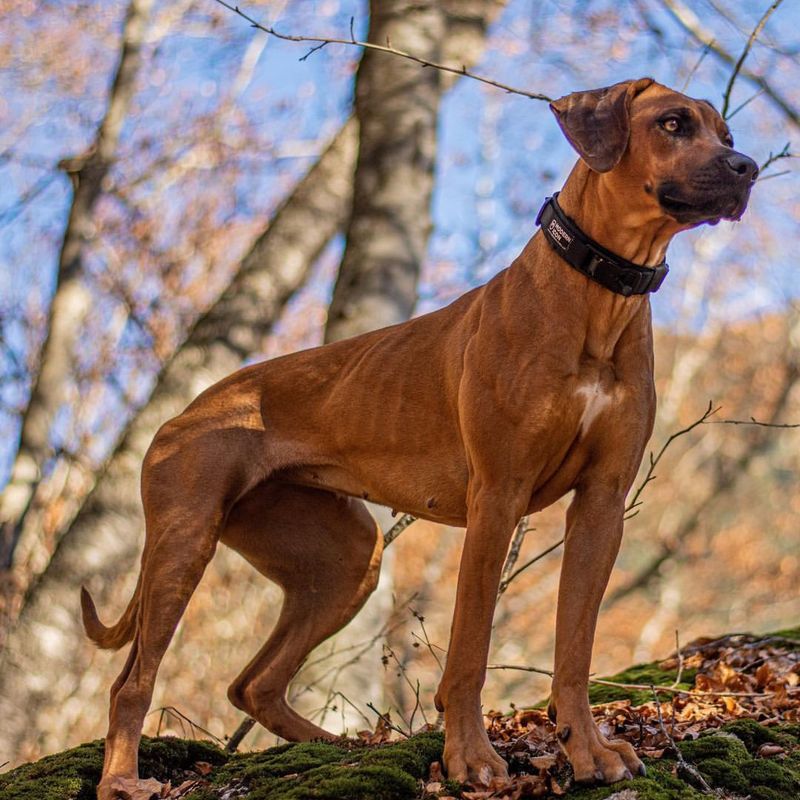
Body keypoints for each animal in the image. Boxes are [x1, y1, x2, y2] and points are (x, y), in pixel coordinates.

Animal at [84, 76, 760, 800]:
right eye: (673, 123)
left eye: (725, 133)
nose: (747, 167)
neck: (596, 296)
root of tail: (185, 411)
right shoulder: (498, 496)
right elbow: (469, 650)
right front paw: (471, 759)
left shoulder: (603, 503)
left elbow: (575, 648)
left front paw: (587, 751)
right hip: (187, 540)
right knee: (131, 682)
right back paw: (121, 780)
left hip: (345, 558)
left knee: (252, 684)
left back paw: (341, 747)